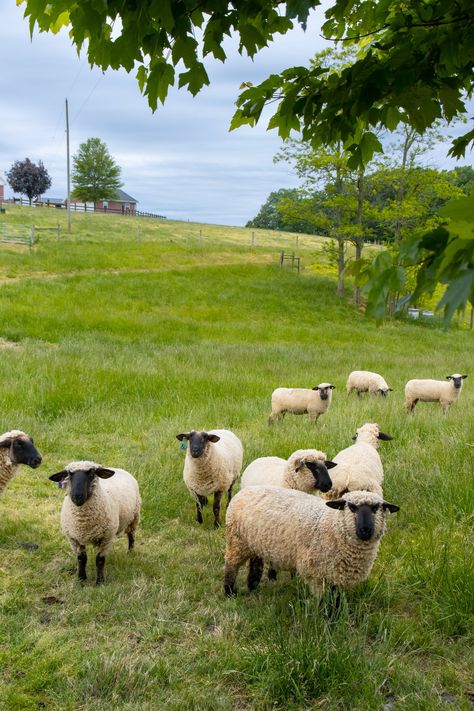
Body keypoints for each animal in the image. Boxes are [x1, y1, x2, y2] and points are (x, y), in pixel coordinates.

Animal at [224, 486, 398, 596]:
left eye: (376, 508)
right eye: (352, 507)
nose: (365, 530)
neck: (331, 524)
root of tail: (245, 490)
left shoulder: (337, 575)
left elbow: (336, 600)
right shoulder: (316, 574)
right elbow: (323, 602)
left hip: (255, 543)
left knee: (255, 563)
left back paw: (253, 587)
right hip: (237, 541)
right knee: (231, 565)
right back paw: (230, 592)